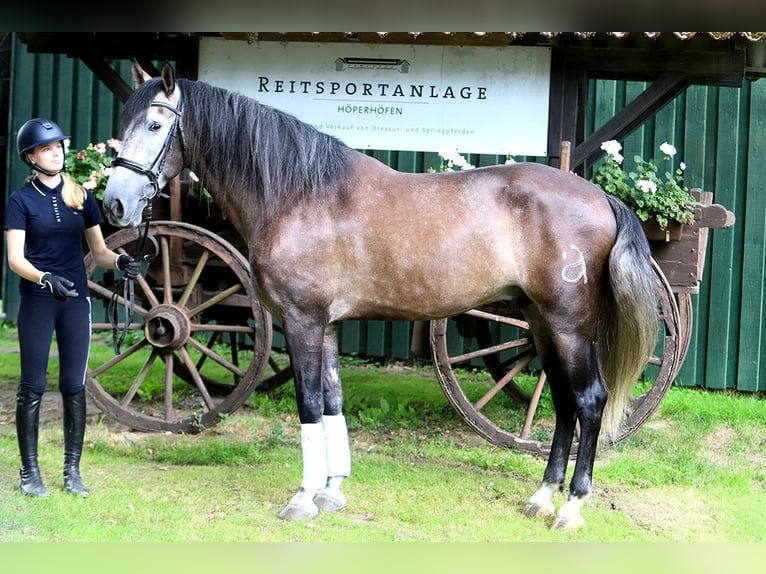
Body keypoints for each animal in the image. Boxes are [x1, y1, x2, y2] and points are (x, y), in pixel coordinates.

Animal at [102, 62, 658, 531]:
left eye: (155, 126)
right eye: (125, 122)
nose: (114, 205)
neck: (298, 195)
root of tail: (601, 196)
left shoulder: (302, 321)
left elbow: (308, 405)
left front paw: (302, 499)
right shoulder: (325, 325)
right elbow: (331, 403)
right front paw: (331, 493)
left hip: (569, 327)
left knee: (589, 402)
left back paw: (571, 507)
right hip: (541, 325)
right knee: (562, 404)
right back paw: (541, 498)